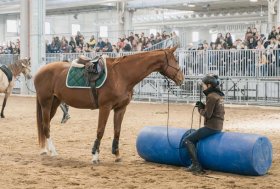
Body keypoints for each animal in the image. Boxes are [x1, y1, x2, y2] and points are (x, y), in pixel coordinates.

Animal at [34, 47, 184, 162]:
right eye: (176, 60)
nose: (181, 79)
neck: (121, 75)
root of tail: (40, 71)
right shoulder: (105, 107)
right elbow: (100, 130)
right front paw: (95, 156)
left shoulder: (120, 109)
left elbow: (117, 131)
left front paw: (117, 155)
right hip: (46, 103)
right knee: (46, 126)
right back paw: (53, 151)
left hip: (54, 102)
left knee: (44, 125)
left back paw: (44, 149)